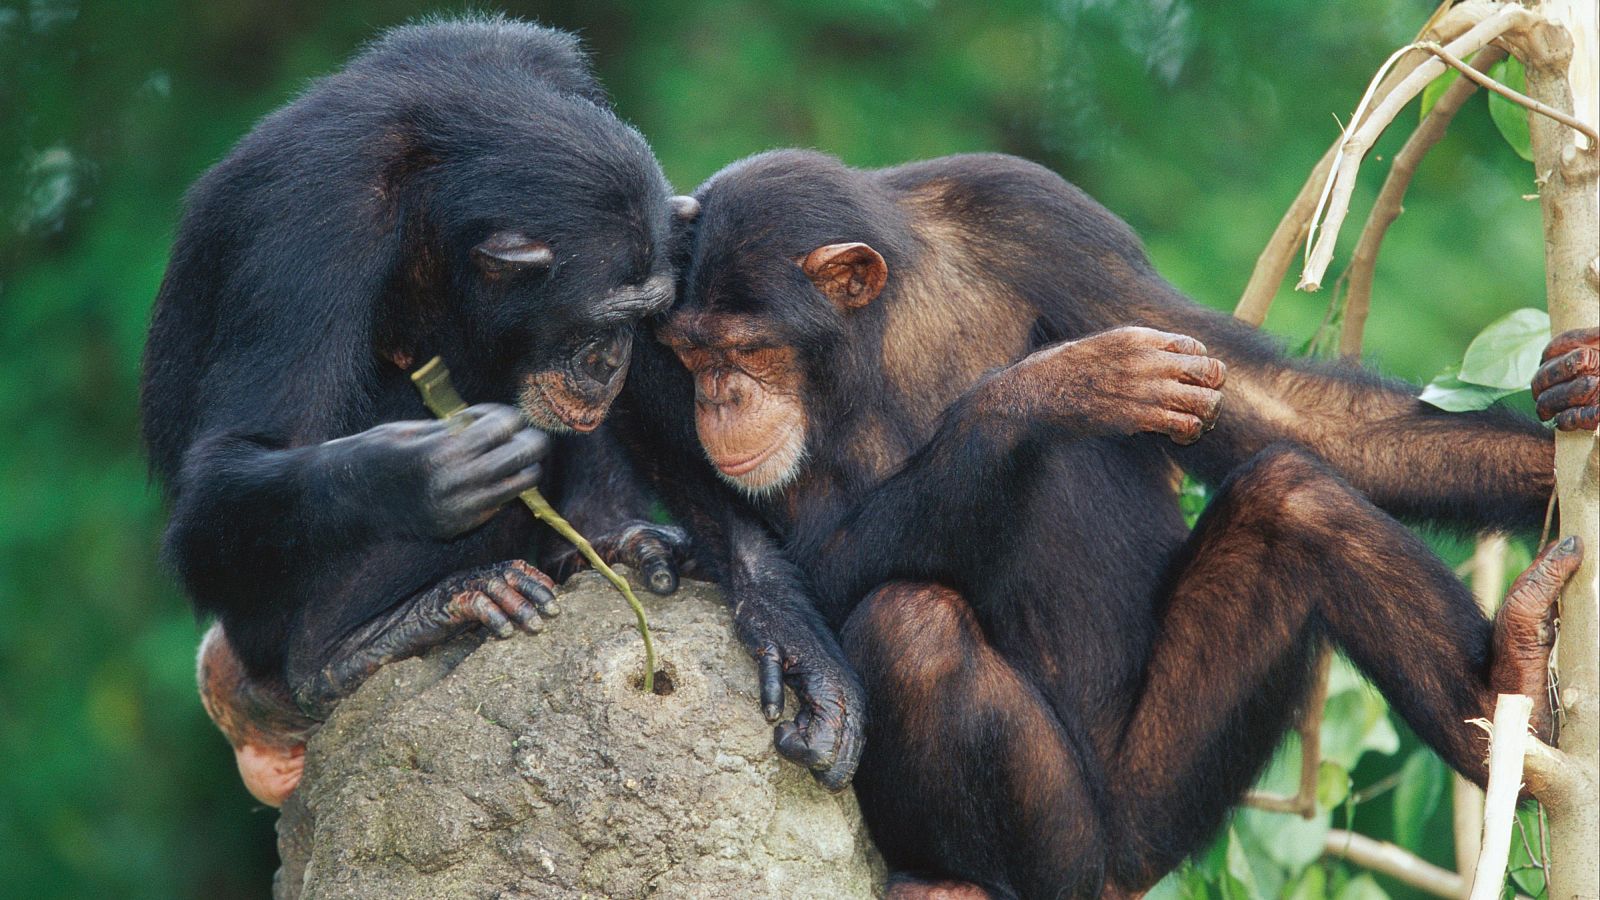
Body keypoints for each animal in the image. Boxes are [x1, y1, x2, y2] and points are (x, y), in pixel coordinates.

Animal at [150, 17, 694, 807]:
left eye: (642, 318)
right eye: (599, 321)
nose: (609, 362)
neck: (438, 189)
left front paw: (614, 533)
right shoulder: (311, 220)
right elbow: (229, 468)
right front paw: (428, 471)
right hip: (263, 637)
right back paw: (356, 642)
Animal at [614, 150, 1600, 890]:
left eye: (748, 350)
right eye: (691, 353)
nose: (719, 398)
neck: (879, 327)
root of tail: (1128, 866)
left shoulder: (1040, 214)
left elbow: (1276, 408)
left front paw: (1580, 393)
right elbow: (803, 567)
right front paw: (1056, 388)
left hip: (1170, 791)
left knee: (1297, 496)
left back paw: (1511, 701)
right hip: (1085, 845)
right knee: (912, 627)